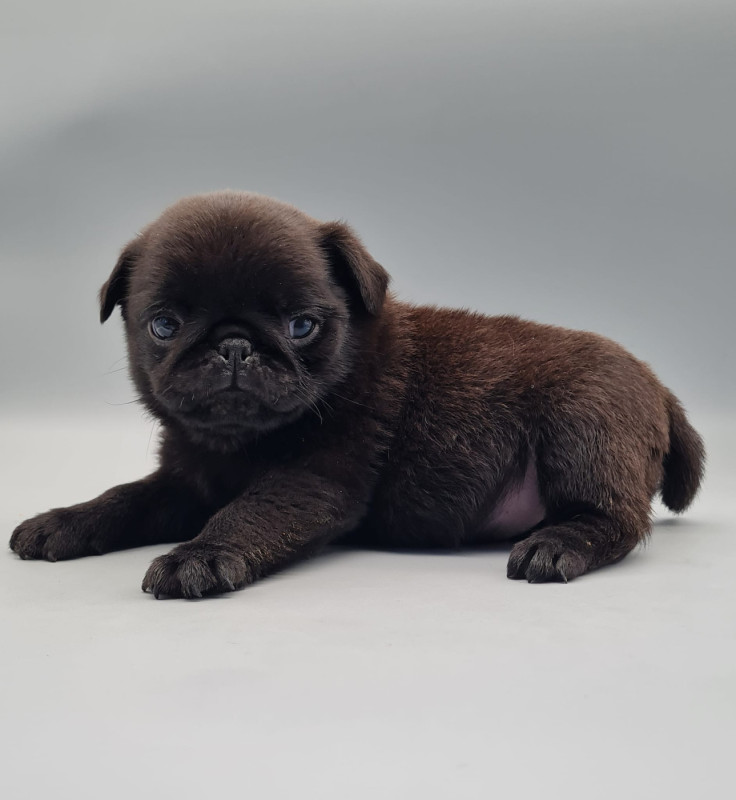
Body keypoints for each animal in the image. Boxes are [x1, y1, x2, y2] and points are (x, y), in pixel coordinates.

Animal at [9, 191, 705, 598]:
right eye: (163, 326)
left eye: (301, 326)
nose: (234, 345)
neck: (238, 443)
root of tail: (659, 386)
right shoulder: (183, 483)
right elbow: (124, 498)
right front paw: (64, 521)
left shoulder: (313, 480)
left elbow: (247, 513)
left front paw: (200, 555)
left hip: (583, 429)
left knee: (614, 519)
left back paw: (558, 544)